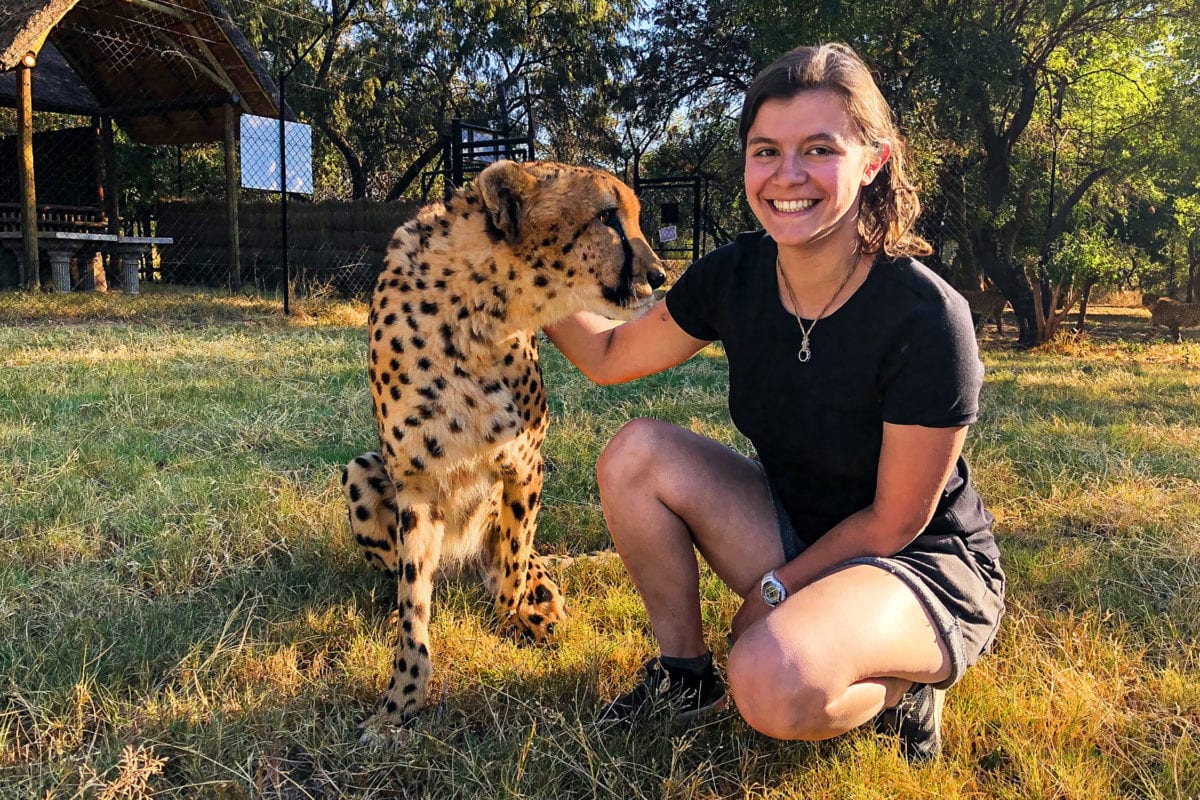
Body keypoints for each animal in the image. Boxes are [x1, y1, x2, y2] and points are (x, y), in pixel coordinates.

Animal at [341, 159, 665, 740]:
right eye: (607, 216)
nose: (660, 276)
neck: (476, 311)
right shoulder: (415, 486)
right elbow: (414, 605)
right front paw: (399, 703)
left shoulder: (525, 466)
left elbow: (513, 555)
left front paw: (514, 613)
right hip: (360, 472)